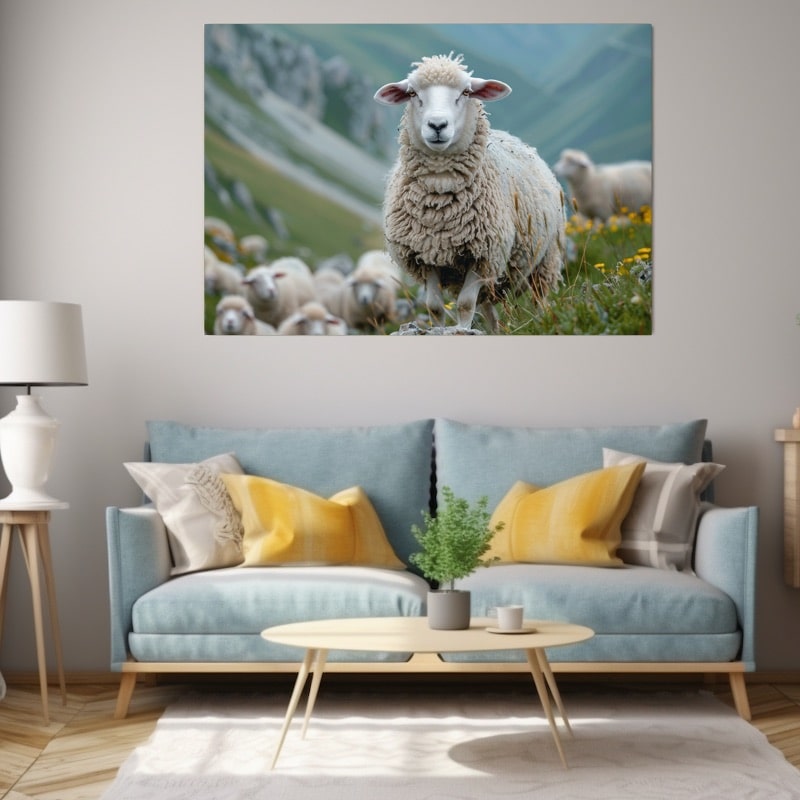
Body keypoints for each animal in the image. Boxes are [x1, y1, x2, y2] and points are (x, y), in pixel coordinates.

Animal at [374, 53, 566, 331]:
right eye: (412, 93)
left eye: (465, 92)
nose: (437, 125)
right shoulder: (424, 255)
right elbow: (434, 307)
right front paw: (441, 330)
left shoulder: (484, 255)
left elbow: (465, 304)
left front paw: (462, 331)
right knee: (489, 311)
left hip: (545, 260)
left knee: (540, 298)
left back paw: (546, 322)